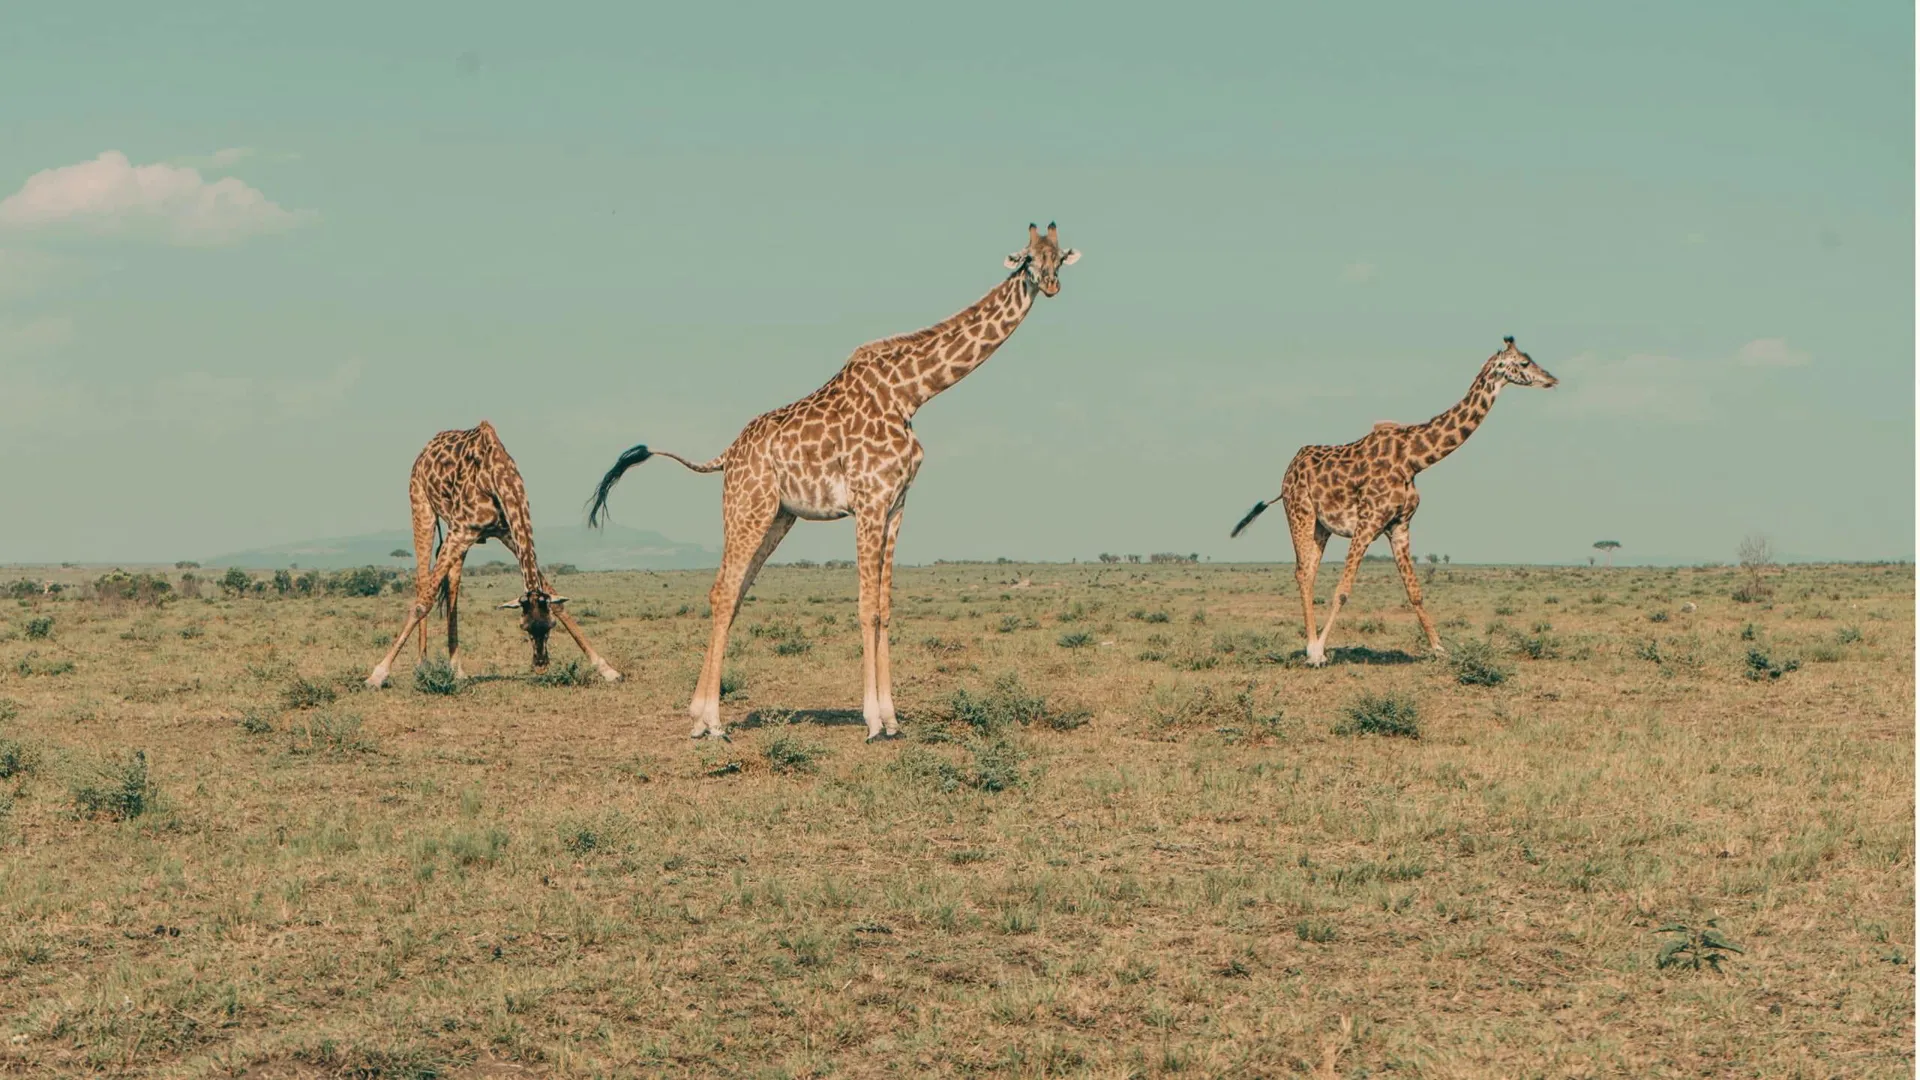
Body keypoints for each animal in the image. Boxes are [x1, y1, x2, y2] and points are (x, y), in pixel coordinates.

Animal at [365, 421, 622, 689]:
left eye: (549, 625)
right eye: (523, 627)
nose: (541, 665)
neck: (499, 477)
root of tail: (427, 448)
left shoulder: (506, 532)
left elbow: (556, 600)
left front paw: (607, 669)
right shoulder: (462, 530)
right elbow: (422, 603)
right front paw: (377, 674)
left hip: (455, 534)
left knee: (452, 585)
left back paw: (456, 669)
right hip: (422, 505)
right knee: (423, 581)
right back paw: (422, 665)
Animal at [587, 223, 1081, 740]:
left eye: (1058, 257)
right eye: (1027, 258)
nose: (1050, 285)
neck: (912, 393)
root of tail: (727, 455)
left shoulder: (896, 505)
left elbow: (885, 607)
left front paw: (893, 718)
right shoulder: (869, 500)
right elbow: (866, 607)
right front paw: (874, 721)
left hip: (778, 517)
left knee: (734, 593)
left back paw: (700, 717)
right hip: (747, 507)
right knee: (722, 591)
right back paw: (713, 722)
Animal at [1229, 337, 1557, 666]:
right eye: (1525, 362)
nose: (1552, 379)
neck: (1413, 459)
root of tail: (1289, 469)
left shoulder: (1399, 526)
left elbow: (1415, 591)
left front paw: (1440, 649)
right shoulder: (1367, 521)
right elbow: (1343, 590)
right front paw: (1320, 650)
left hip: (1321, 526)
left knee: (1308, 572)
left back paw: (1310, 646)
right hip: (1300, 512)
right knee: (1301, 572)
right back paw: (1313, 651)